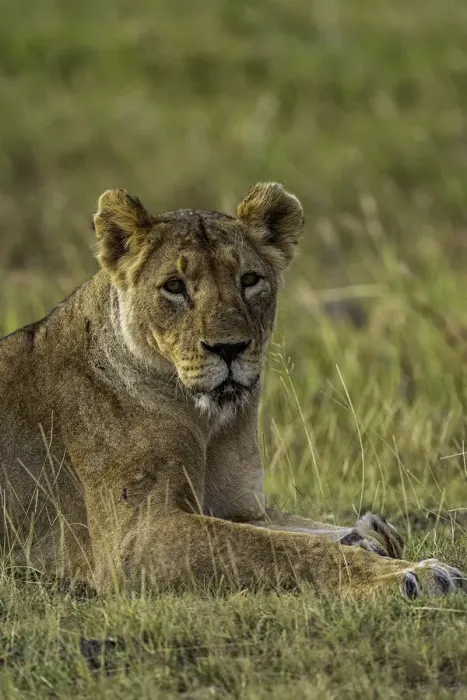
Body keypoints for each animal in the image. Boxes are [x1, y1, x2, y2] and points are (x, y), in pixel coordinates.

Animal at [0, 182, 464, 599]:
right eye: (174, 286)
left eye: (250, 279)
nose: (229, 348)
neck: (209, 421)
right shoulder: (135, 540)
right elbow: (283, 549)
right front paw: (410, 572)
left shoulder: (238, 507)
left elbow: (295, 527)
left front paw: (370, 535)